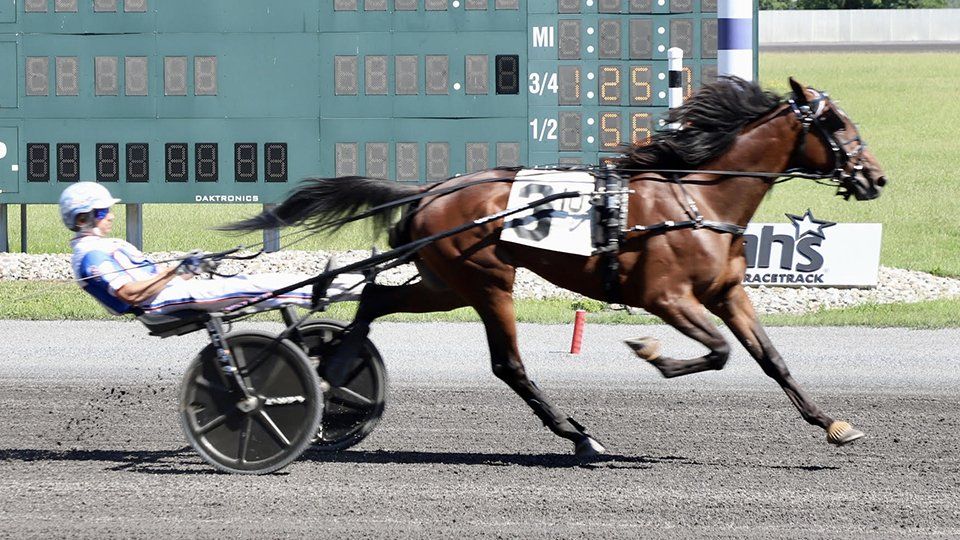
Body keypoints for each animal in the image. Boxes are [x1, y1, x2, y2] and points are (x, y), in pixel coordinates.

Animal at [225, 77, 884, 456]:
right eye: (836, 124)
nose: (875, 177)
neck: (695, 200)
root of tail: (430, 188)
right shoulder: (667, 297)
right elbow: (719, 352)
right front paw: (652, 354)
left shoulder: (727, 293)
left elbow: (771, 359)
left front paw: (831, 423)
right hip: (487, 281)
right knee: (508, 364)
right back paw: (578, 435)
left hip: (446, 282)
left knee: (376, 300)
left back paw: (335, 373)